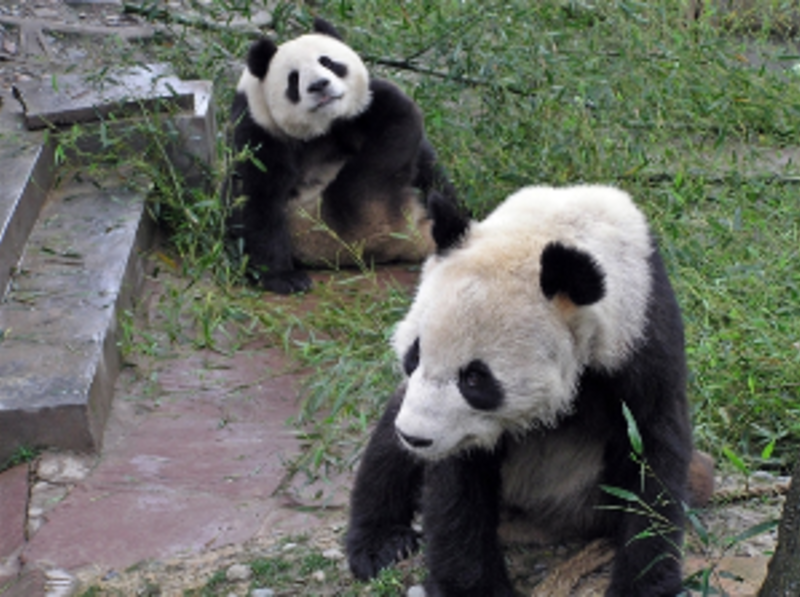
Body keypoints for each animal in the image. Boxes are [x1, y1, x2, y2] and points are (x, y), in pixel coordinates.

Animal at [227, 18, 458, 294]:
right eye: (294, 78)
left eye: (328, 62)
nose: (319, 85)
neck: (325, 127)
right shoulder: (259, 131)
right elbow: (256, 200)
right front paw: (284, 278)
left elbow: (429, 168)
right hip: (344, 217)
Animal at [346, 185, 709, 597]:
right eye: (414, 353)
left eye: (475, 378)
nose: (416, 437)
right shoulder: (454, 424)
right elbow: (457, 487)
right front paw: (472, 588)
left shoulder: (640, 338)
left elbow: (649, 460)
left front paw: (642, 585)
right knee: (386, 452)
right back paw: (381, 543)